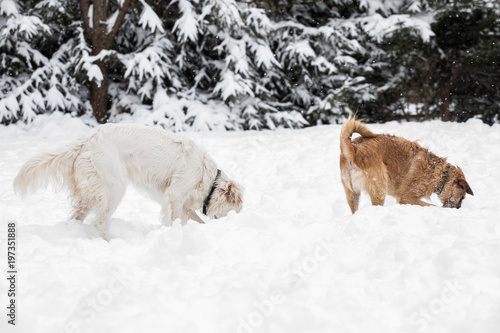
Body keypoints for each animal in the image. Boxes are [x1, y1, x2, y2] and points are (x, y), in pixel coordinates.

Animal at [12, 124, 243, 239]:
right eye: (235, 211)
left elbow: (194, 219)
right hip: (115, 187)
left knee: (76, 218)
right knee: (100, 222)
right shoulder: (174, 196)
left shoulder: (184, 204)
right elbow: (174, 220)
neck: (208, 176)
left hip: (91, 194)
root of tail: (87, 141)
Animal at [340, 115, 472, 213]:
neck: (441, 174)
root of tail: (354, 148)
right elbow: (431, 206)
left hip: (352, 194)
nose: (458, 209)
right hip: (379, 189)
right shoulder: (407, 198)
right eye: (462, 197)